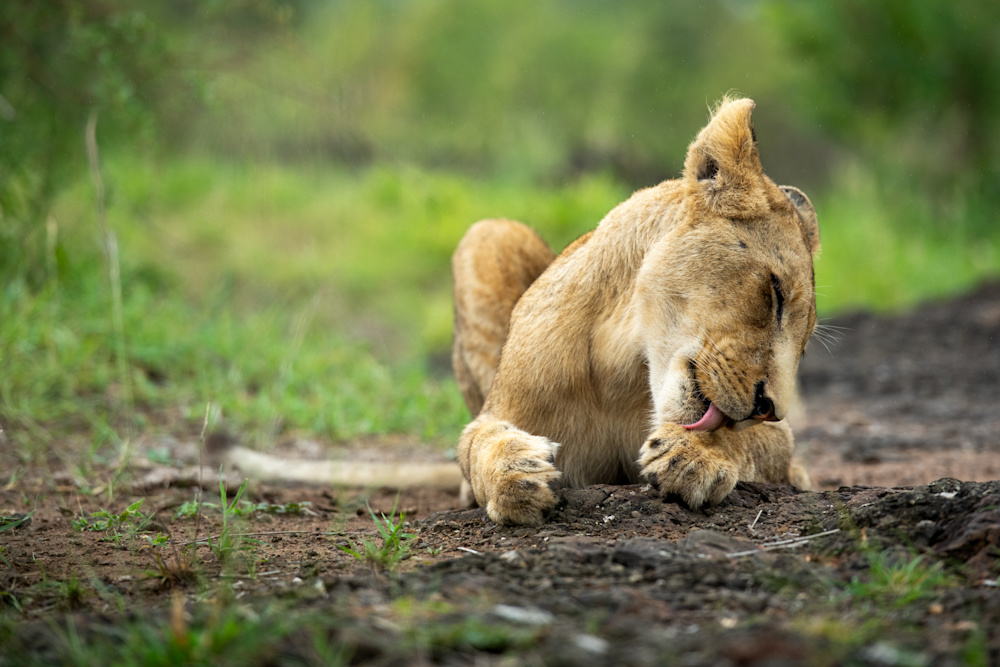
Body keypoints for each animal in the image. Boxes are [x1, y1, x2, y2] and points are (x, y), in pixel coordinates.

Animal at [451, 97, 819, 525]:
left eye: (805, 344)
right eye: (775, 293)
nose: (769, 408)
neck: (619, 363)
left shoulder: (778, 436)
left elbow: (751, 442)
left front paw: (695, 455)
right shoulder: (495, 412)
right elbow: (478, 443)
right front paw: (516, 474)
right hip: (488, 233)